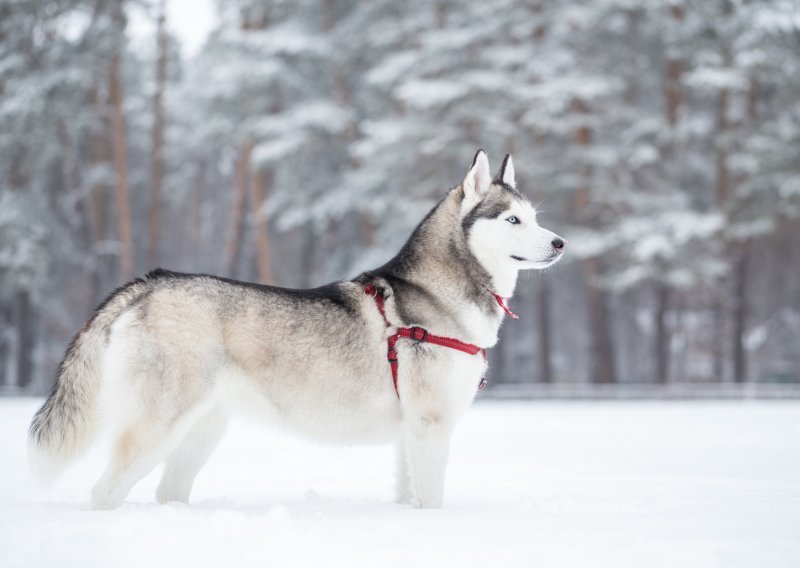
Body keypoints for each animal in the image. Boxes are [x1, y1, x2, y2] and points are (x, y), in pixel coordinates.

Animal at [28, 149, 564, 508]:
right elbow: (432, 498)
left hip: (201, 431)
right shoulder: (431, 424)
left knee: (168, 492)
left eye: (534, 218)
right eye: (512, 220)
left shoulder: (410, 431)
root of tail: (151, 281)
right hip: (158, 425)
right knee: (105, 490)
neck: (438, 290)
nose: (560, 242)